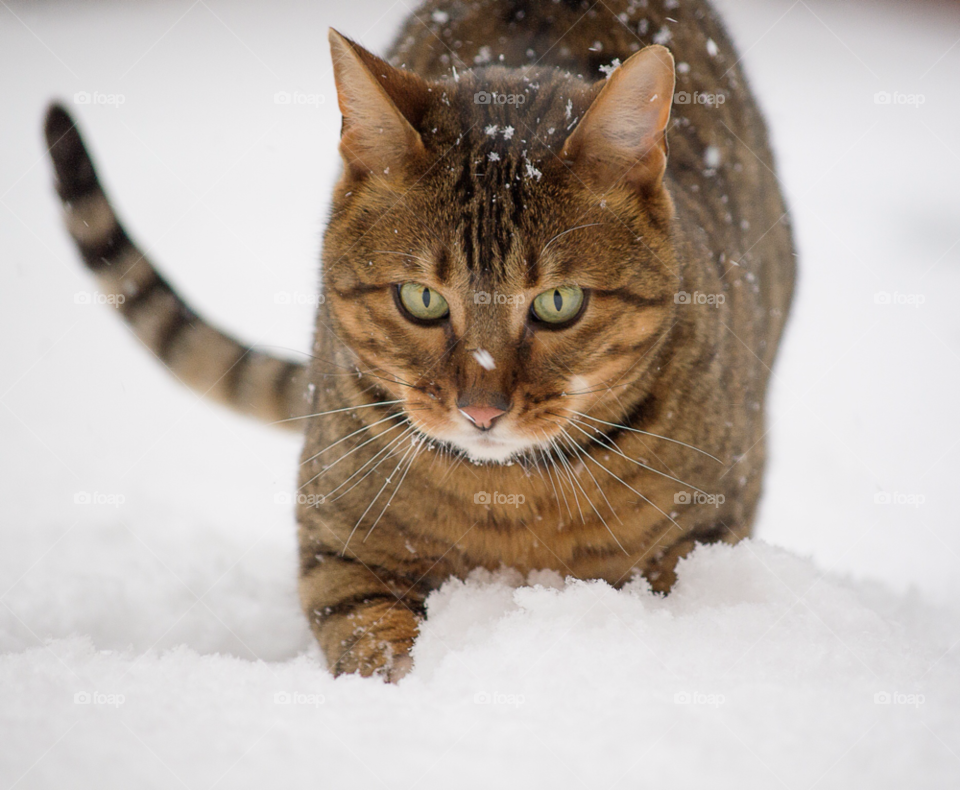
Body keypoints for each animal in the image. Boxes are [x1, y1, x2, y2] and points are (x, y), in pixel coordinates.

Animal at [45, 0, 796, 680]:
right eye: (422, 299)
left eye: (558, 303)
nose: (482, 409)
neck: (512, 504)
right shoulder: (339, 549)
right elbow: (375, 641)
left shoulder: (703, 539)